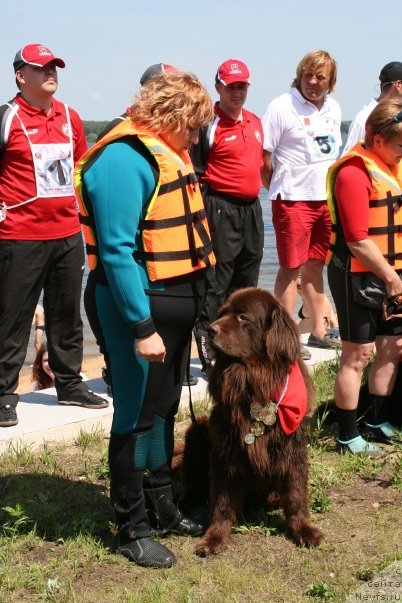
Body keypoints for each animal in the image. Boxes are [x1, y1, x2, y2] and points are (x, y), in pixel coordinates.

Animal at [181, 288, 324, 556]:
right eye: (222, 312)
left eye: (243, 317)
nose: (210, 330)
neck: (253, 379)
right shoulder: (225, 452)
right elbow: (222, 503)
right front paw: (214, 537)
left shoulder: (293, 447)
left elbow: (296, 494)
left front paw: (303, 529)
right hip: (196, 431)